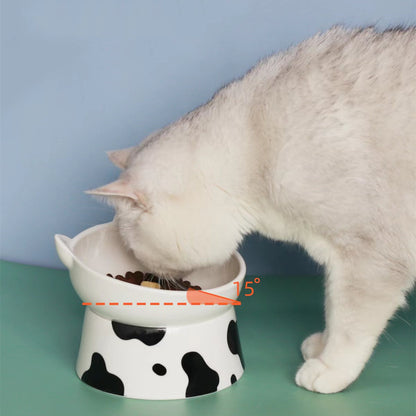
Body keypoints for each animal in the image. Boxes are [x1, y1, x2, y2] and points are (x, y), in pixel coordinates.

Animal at [85, 26, 416, 394]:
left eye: (132, 249)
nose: (148, 273)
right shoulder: (339, 262)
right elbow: (333, 308)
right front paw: (321, 346)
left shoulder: (369, 259)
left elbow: (349, 325)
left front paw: (330, 368)